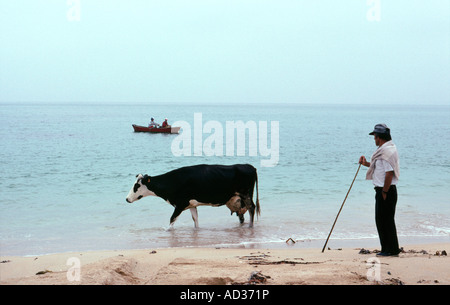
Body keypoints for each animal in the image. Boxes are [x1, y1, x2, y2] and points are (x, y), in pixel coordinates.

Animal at [125, 164, 260, 226]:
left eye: (136, 186)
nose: (127, 199)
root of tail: (249, 166)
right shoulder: (191, 205)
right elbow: (195, 220)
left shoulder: (180, 204)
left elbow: (171, 220)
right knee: (242, 214)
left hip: (246, 194)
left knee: (251, 208)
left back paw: (251, 226)